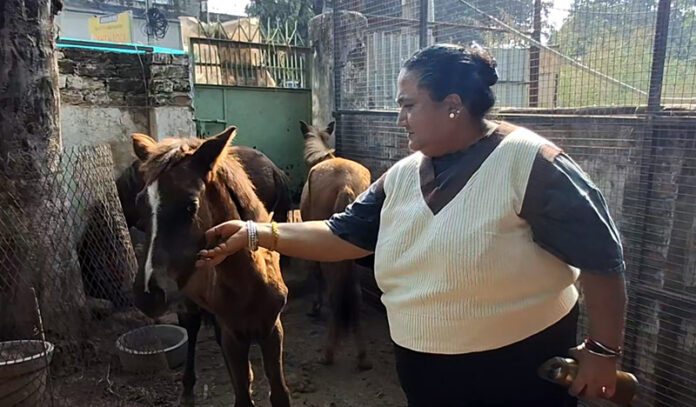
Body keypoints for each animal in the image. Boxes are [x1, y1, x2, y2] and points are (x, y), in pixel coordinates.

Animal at [131, 127, 290, 407]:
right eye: (140, 203)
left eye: (190, 205)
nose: (148, 295)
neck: (252, 283)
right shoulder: (233, 335)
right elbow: (242, 396)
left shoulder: (272, 330)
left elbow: (279, 393)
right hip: (189, 305)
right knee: (192, 330)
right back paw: (187, 392)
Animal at [299, 120, 372, 371]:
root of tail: (345, 184)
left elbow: (316, 274)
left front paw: (314, 307)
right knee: (356, 293)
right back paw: (362, 356)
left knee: (335, 291)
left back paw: (328, 353)